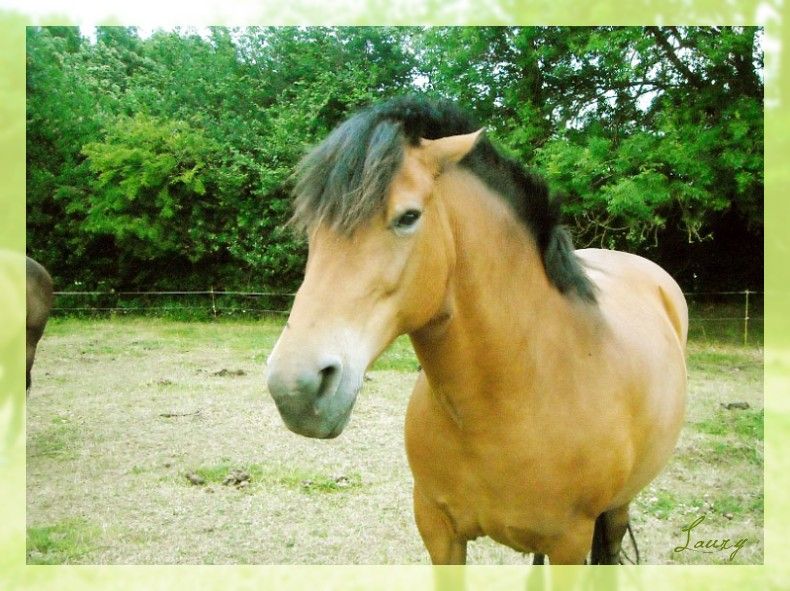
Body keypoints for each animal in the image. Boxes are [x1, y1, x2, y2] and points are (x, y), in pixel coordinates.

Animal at [266, 97, 687, 565]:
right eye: (311, 227)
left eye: (408, 217)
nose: (294, 389)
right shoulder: (439, 532)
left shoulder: (570, 544)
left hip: (616, 510)